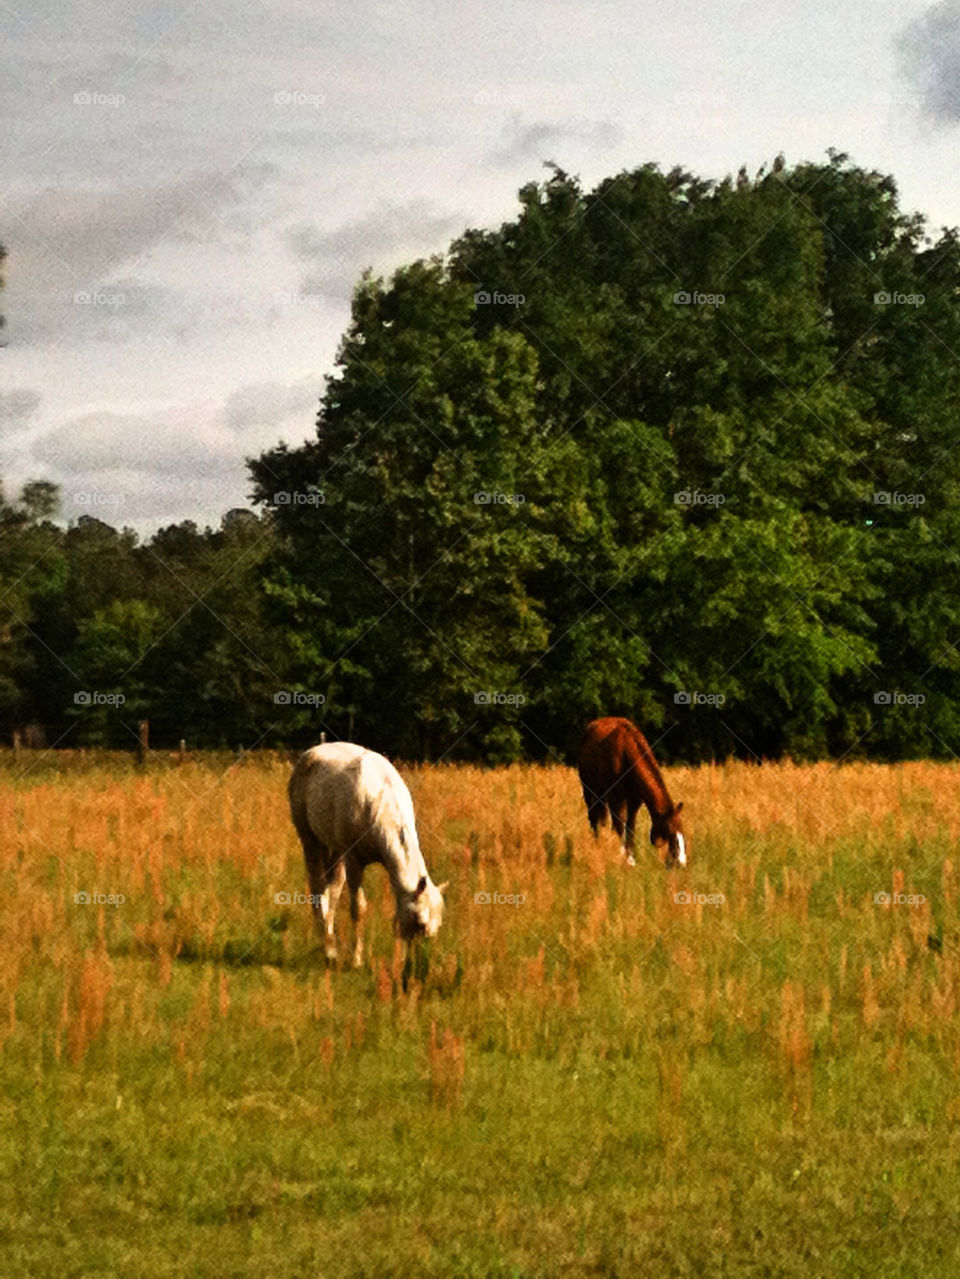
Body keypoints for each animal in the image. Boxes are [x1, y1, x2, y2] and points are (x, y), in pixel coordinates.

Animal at [287, 746, 449, 961]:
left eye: (437, 925)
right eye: (420, 923)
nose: (414, 961)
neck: (380, 805)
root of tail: (312, 751)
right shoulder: (353, 861)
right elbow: (359, 909)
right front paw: (356, 959)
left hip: (335, 851)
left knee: (332, 892)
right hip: (309, 839)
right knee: (317, 887)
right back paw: (327, 948)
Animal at [575, 721, 685, 869]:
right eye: (671, 834)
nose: (681, 863)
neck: (626, 754)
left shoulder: (634, 802)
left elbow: (630, 827)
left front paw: (631, 857)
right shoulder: (617, 800)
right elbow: (620, 825)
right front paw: (623, 857)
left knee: (602, 819)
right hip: (589, 790)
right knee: (593, 818)